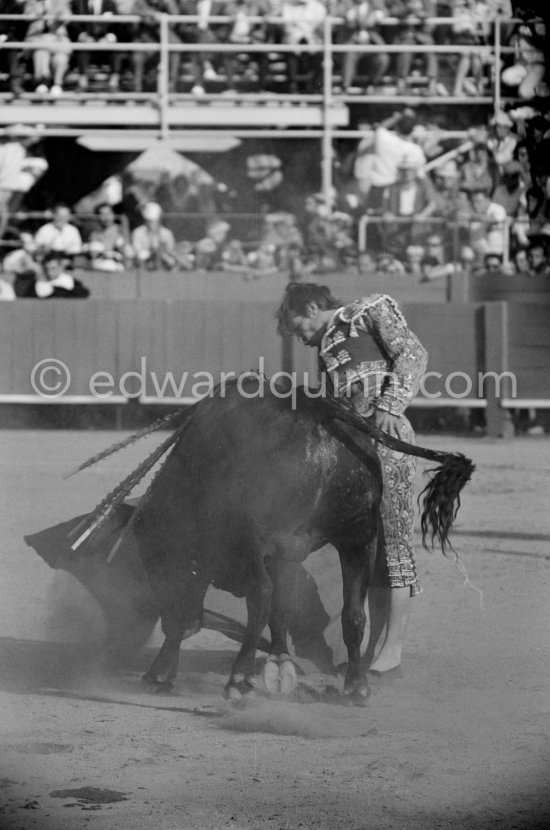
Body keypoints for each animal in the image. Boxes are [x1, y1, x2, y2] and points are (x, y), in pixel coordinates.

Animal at [24, 380, 474, 704]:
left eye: (153, 561)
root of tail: (316, 410)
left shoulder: (212, 553)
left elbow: (194, 607)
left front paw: (160, 675)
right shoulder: (288, 552)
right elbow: (283, 609)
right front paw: (279, 664)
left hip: (257, 537)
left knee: (260, 596)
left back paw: (238, 680)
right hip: (360, 537)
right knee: (352, 614)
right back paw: (355, 687)